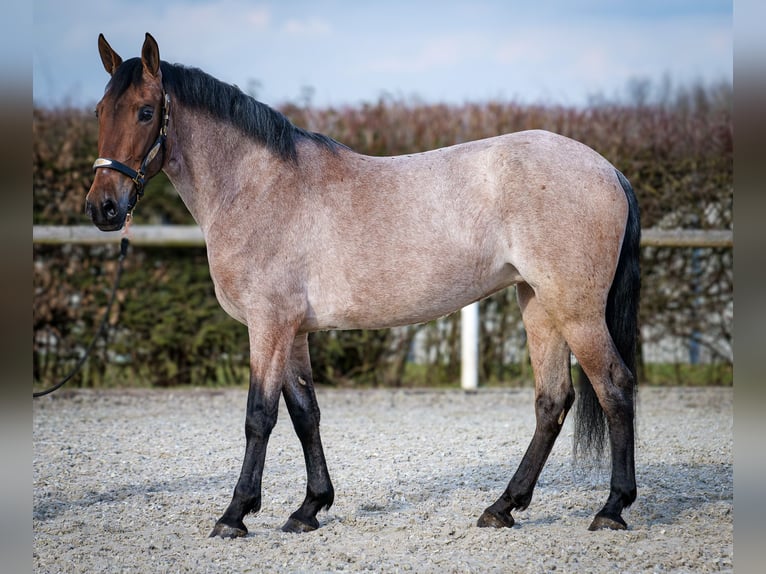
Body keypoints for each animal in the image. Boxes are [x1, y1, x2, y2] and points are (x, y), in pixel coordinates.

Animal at [85, 35, 640, 540]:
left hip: (577, 311)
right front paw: (309, 508)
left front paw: (235, 515)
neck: (257, 188)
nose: (103, 208)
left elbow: (259, 416)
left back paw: (612, 508)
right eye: (99, 111)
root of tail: (607, 168)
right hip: (539, 304)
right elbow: (305, 413)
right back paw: (502, 507)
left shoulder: (268, 326)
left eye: (146, 112)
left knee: (615, 387)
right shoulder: (294, 331)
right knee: (553, 400)